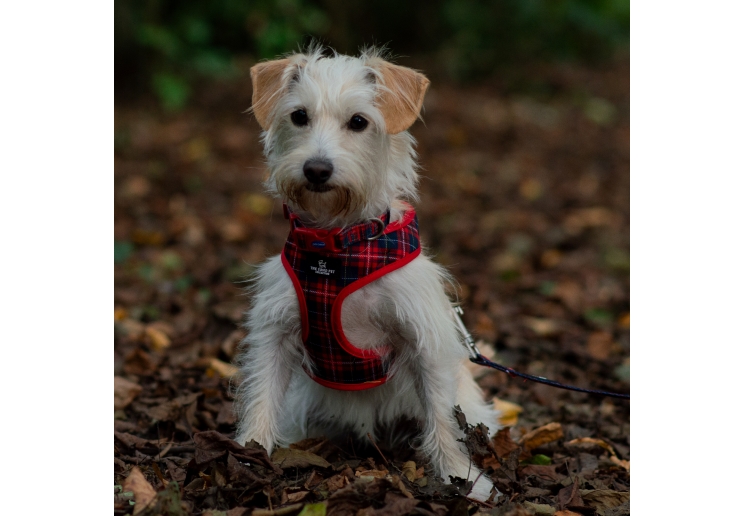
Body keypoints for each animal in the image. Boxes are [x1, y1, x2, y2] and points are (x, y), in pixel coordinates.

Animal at [232, 47, 500, 500]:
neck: (338, 246)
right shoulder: (275, 332)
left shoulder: (424, 340)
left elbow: (443, 419)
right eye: (299, 116)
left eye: (358, 122)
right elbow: (263, 395)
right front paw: (250, 454)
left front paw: (460, 476)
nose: (316, 169)